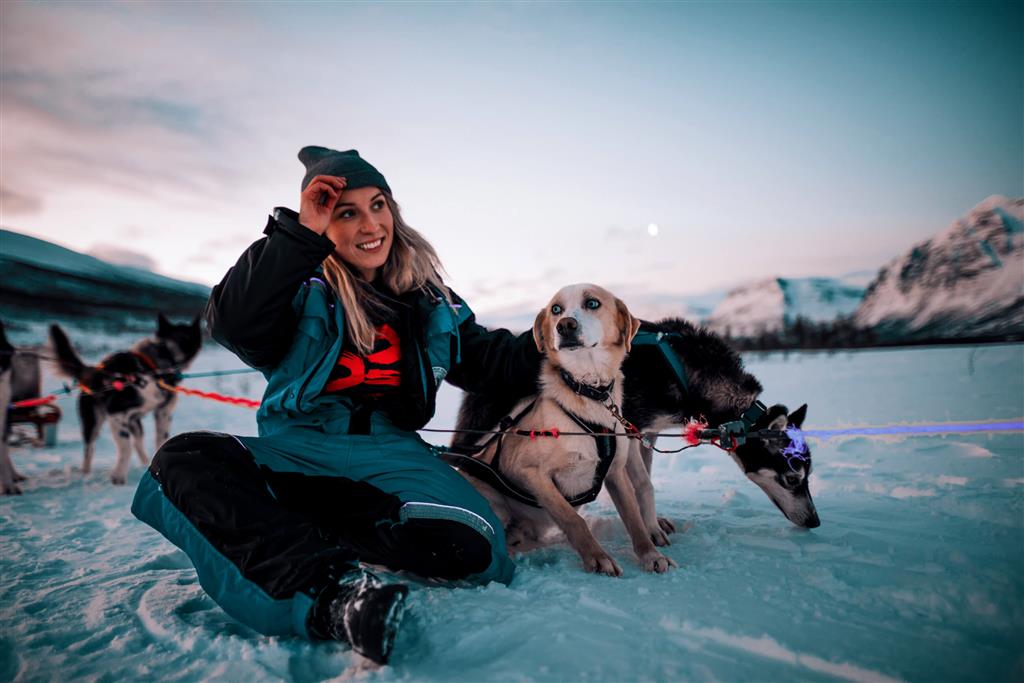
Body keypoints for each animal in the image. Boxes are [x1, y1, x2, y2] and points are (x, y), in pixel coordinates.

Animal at [49, 314, 202, 484]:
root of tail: (91, 371)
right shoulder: (116, 413)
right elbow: (125, 447)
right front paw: (118, 477)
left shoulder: (163, 412)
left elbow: (160, 439)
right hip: (93, 421)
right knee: (90, 448)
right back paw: (86, 474)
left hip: (134, 421)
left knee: (137, 441)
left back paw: (145, 463)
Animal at [449, 284, 675, 576]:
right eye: (556, 309)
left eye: (593, 303)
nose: (565, 325)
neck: (590, 392)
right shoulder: (530, 472)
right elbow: (572, 519)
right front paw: (597, 558)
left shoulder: (616, 472)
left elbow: (634, 519)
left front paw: (651, 555)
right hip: (493, 503)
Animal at [455, 316, 819, 537]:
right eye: (793, 479)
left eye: (808, 477)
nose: (815, 521)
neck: (684, 372)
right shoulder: (629, 429)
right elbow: (644, 484)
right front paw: (652, 531)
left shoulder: (647, 433)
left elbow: (644, 478)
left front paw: (652, 521)